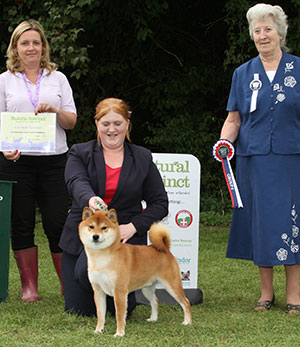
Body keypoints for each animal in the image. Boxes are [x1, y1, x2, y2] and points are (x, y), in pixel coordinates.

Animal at [79, 208, 192, 338]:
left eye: (104, 227)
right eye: (91, 227)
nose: (95, 236)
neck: (101, 258)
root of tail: (165, 249)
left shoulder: (119, 291)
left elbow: (119, 315)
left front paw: (119, 333)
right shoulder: (98, 291)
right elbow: (100, 315)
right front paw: (98, 330)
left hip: (172, 285)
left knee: (186, 302)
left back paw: (187, 322)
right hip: (147, 289)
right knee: (155, 301)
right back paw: (153, 319)